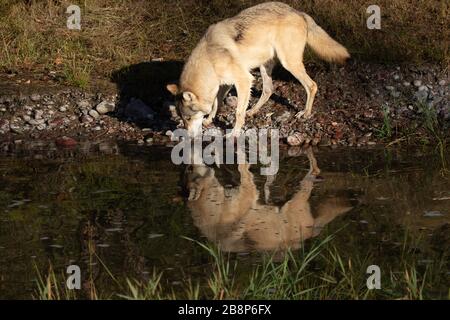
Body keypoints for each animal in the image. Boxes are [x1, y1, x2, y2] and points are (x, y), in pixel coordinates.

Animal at [167, 1, 350, 136]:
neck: (210, 59)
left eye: (188, 118)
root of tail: (298, 11)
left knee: (312, 86)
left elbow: (237, 112)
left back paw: (305, 113)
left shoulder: (243, 80)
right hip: (265, 67)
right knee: (268, 90)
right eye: (183, 119)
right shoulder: (225, 84)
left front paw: (234, 133)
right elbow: (215, 104)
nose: (189, 137)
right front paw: (209, 120)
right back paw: (252, 111)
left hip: (289, 64)